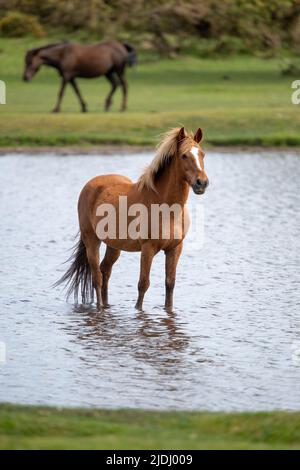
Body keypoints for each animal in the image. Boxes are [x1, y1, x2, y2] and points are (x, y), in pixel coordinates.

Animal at [55, 127, 209, 312]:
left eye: (202, 154)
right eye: (184, 155)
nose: (202, 183)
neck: (167, 209)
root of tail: (90, 185)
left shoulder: (175, 248)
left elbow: (170, 284)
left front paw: (168, 311)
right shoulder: (148, 248)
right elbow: (143, 284)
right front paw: (138, 310)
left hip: (114, 246)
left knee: (105, 271)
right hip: (92, 242)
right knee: (97, 277)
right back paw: (100, 307)